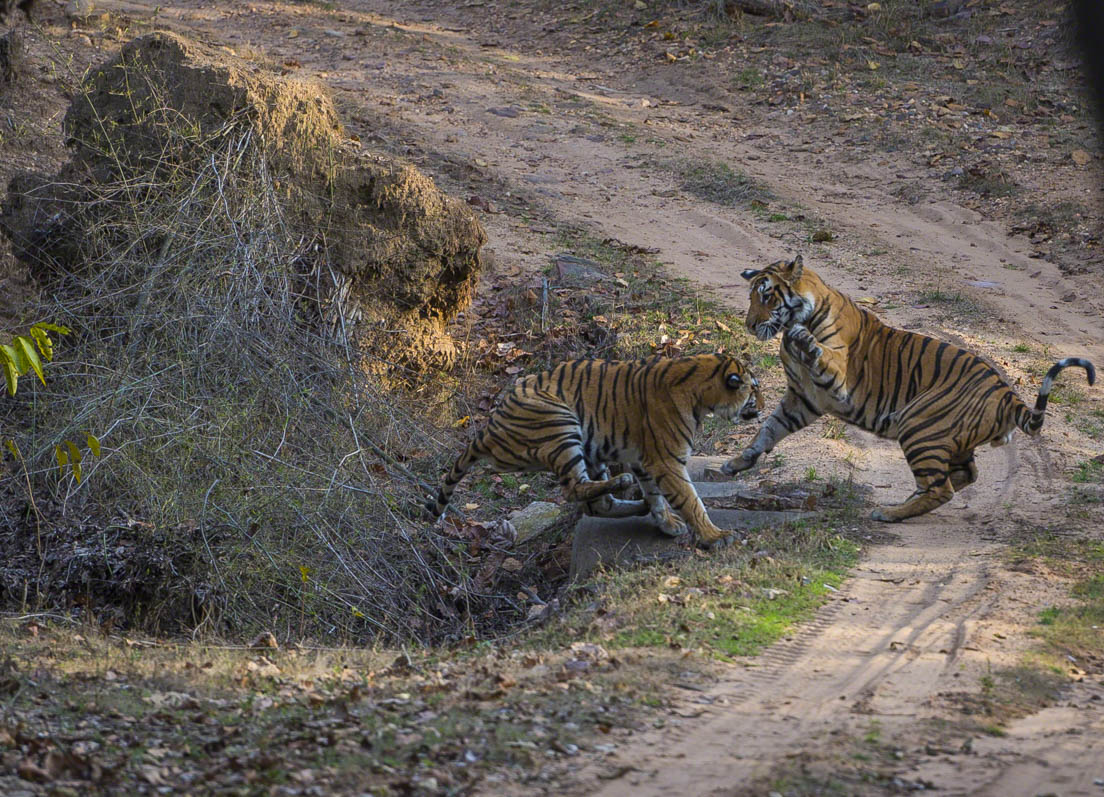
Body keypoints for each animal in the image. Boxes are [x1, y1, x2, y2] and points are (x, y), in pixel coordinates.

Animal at [428, 354, 764, 546]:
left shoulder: (646, 460)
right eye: (754, 388)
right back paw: (624, 484)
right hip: (560, 423)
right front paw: (715, 536)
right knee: (574, 489)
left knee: (596, 504)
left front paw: (667, 523)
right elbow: (691, 500)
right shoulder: (667, 460)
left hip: (589, 448)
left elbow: (657, 494)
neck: (702, 393)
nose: (762, 405)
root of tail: (489, 427)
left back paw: (634, 501)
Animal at [723, 254, 1096, 522]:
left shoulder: (838, 378)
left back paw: (889, 513)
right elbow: (770, 429)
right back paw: (904, 502)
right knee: (961, 475)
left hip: (919, 424)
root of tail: (1007, 395)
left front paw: (804, 337)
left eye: (767, 297)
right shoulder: (803, 398)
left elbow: (819, 352)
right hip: (947, 437)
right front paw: (738, 462)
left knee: (942, 488)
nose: (750, 325)